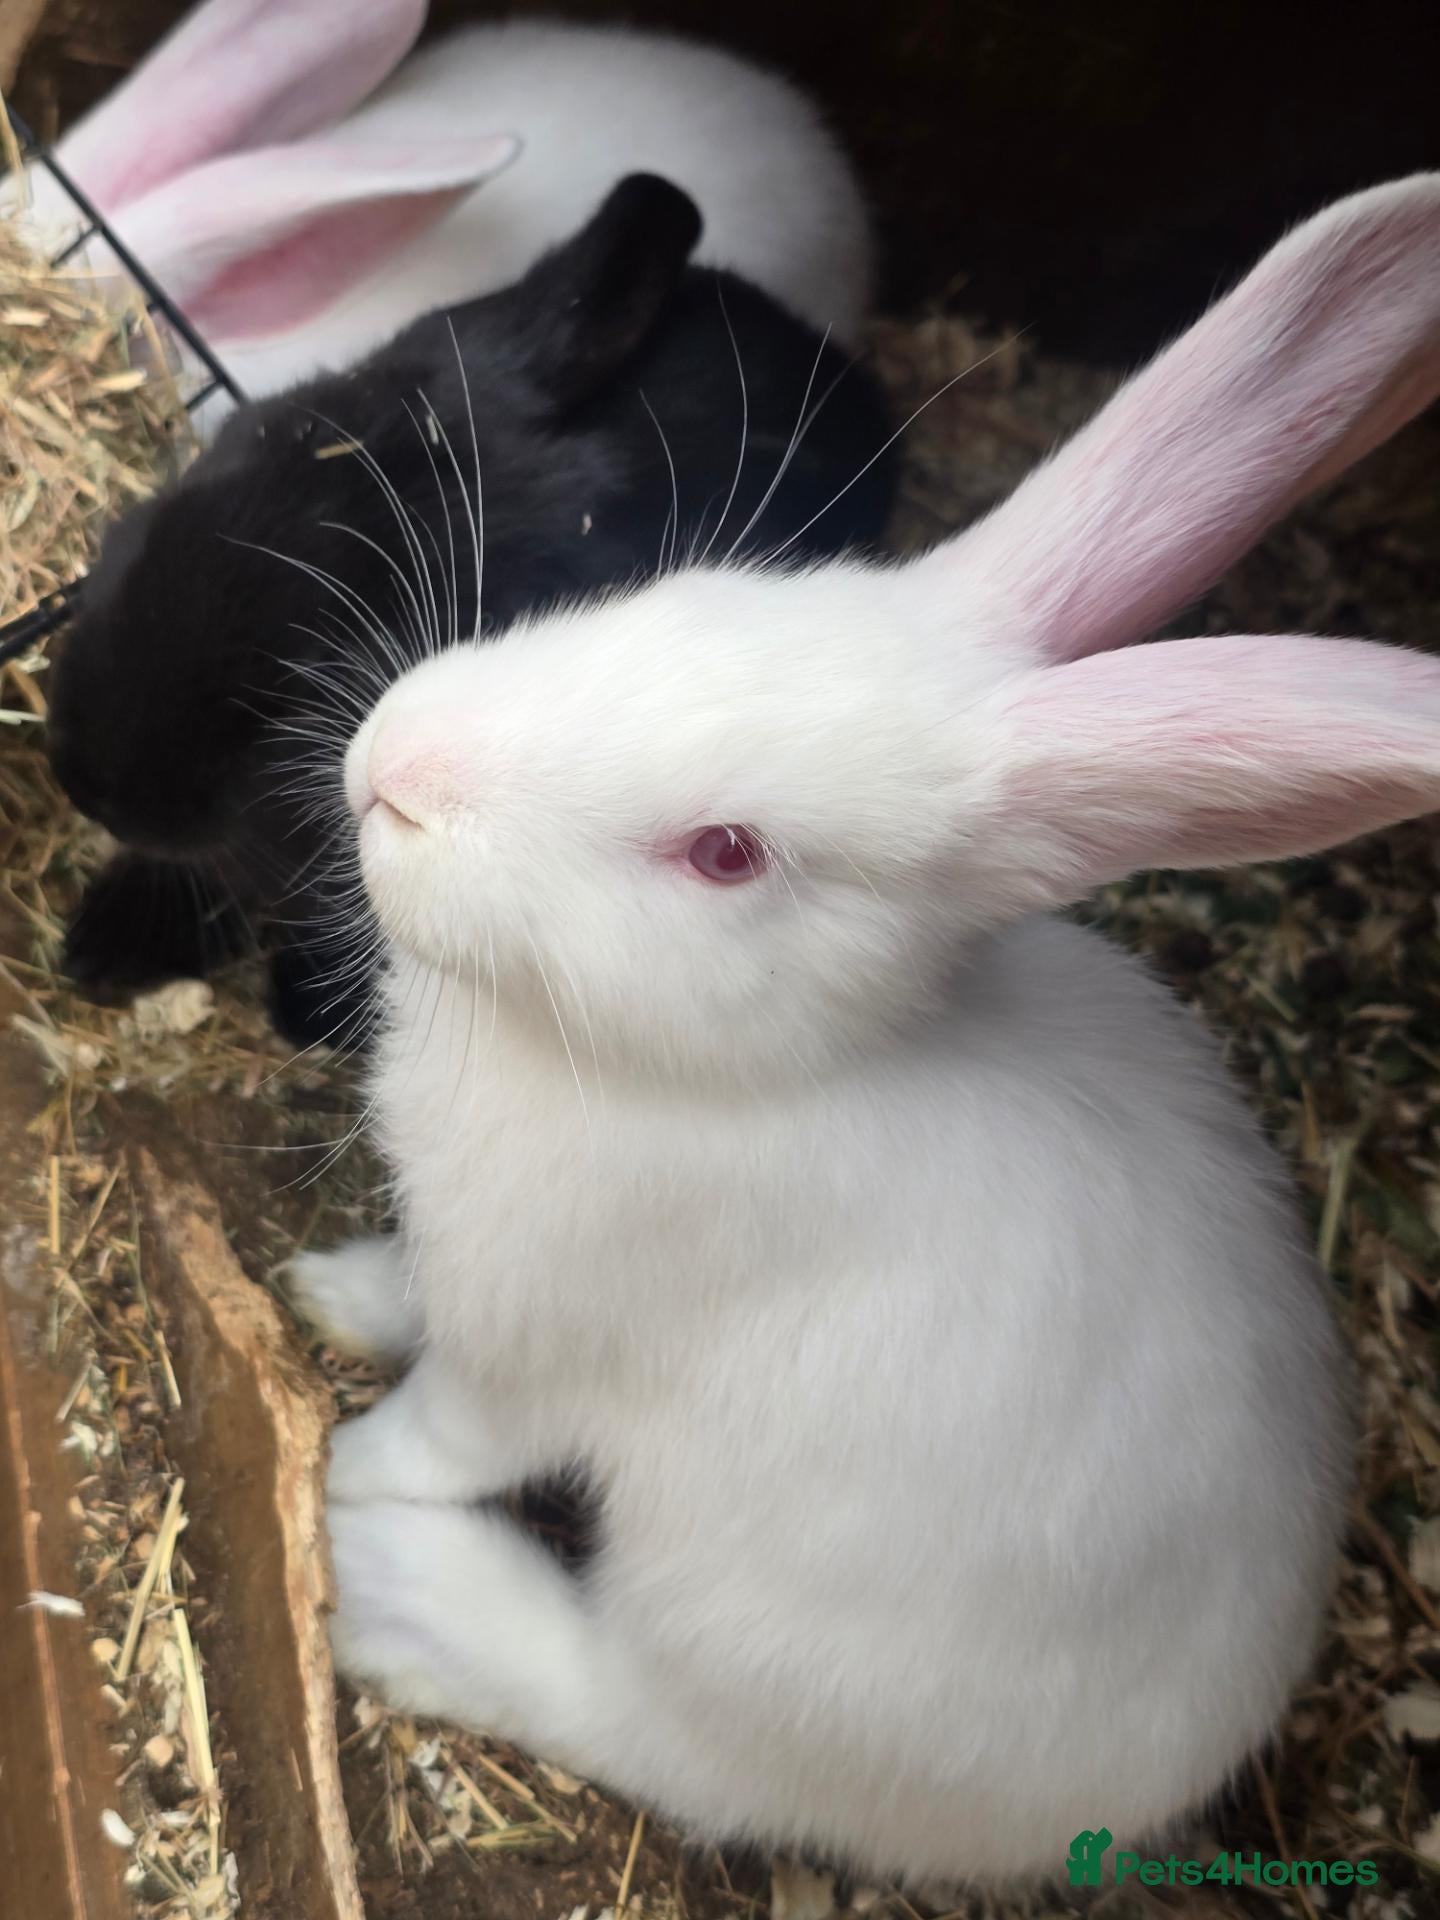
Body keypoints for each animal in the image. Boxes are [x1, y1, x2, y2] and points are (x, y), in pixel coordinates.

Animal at [303, 171, 1440, 1885]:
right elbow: (400, 1294)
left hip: (742, 1642)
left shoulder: (535, 1350)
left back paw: (401, 1599)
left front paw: (341, 1473)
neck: (729, 1068)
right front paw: (326, 1291)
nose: (395, 769)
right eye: (673, 597)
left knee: (658, 1733)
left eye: (726, 854)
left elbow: (444, 1431)